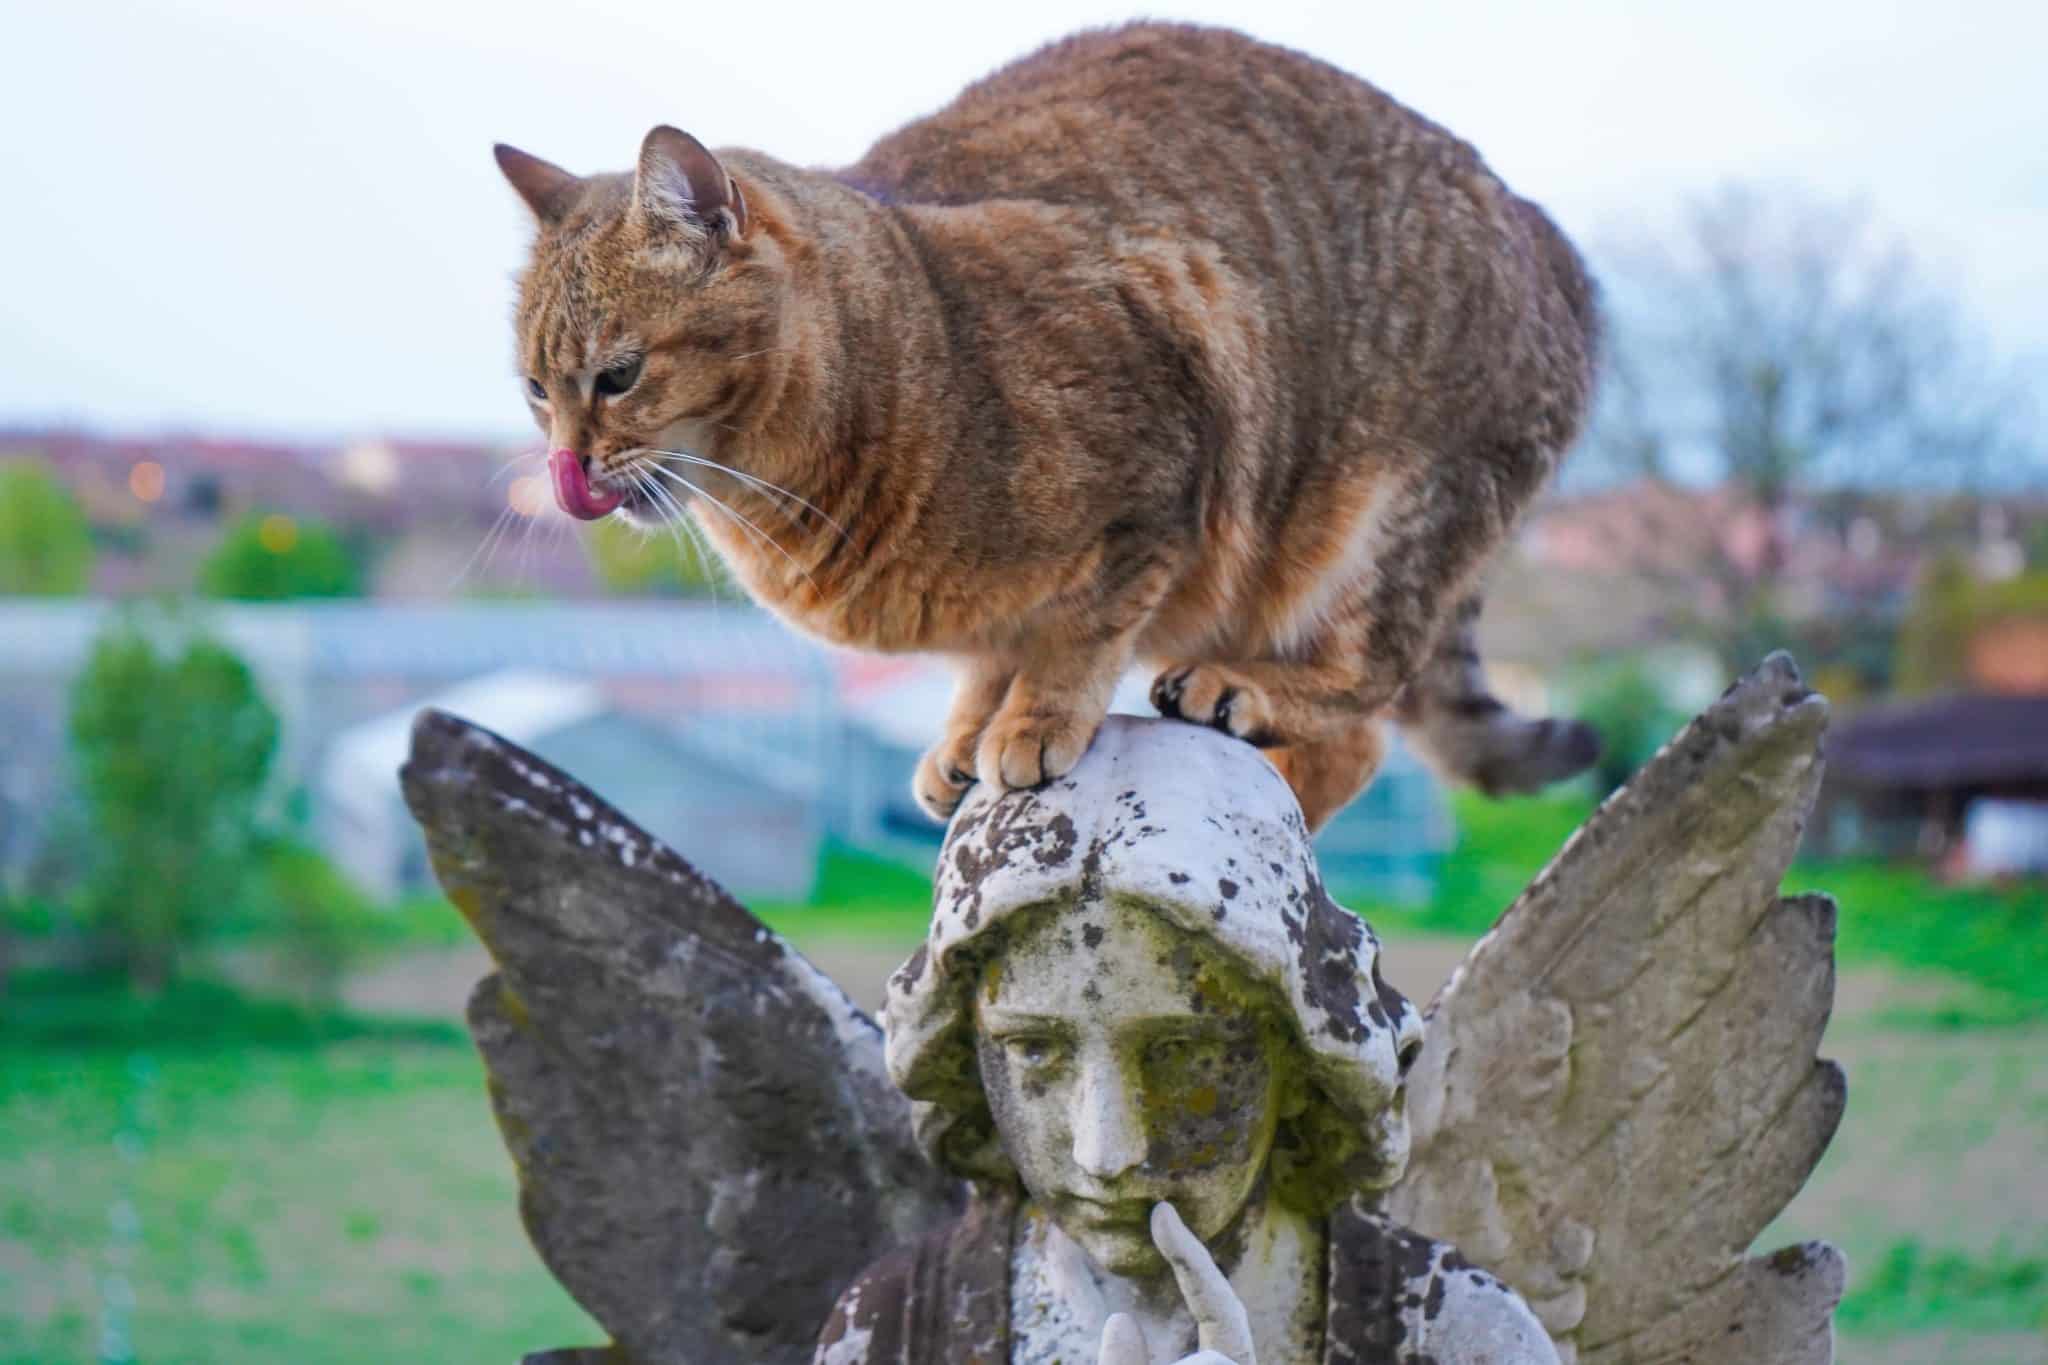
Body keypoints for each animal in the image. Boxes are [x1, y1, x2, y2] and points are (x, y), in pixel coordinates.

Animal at [491, 24, 1597, 834]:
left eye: (619, 376)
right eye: (537, 390)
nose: (562, 466)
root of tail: (1551, 237)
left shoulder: (1165, 456)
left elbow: (1081, 626)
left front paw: (1032, 722)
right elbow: (992, 650)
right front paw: (967, 729)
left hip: (1390, 514)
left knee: (1365, 691)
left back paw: (1235, 689)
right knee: (1359, 739)